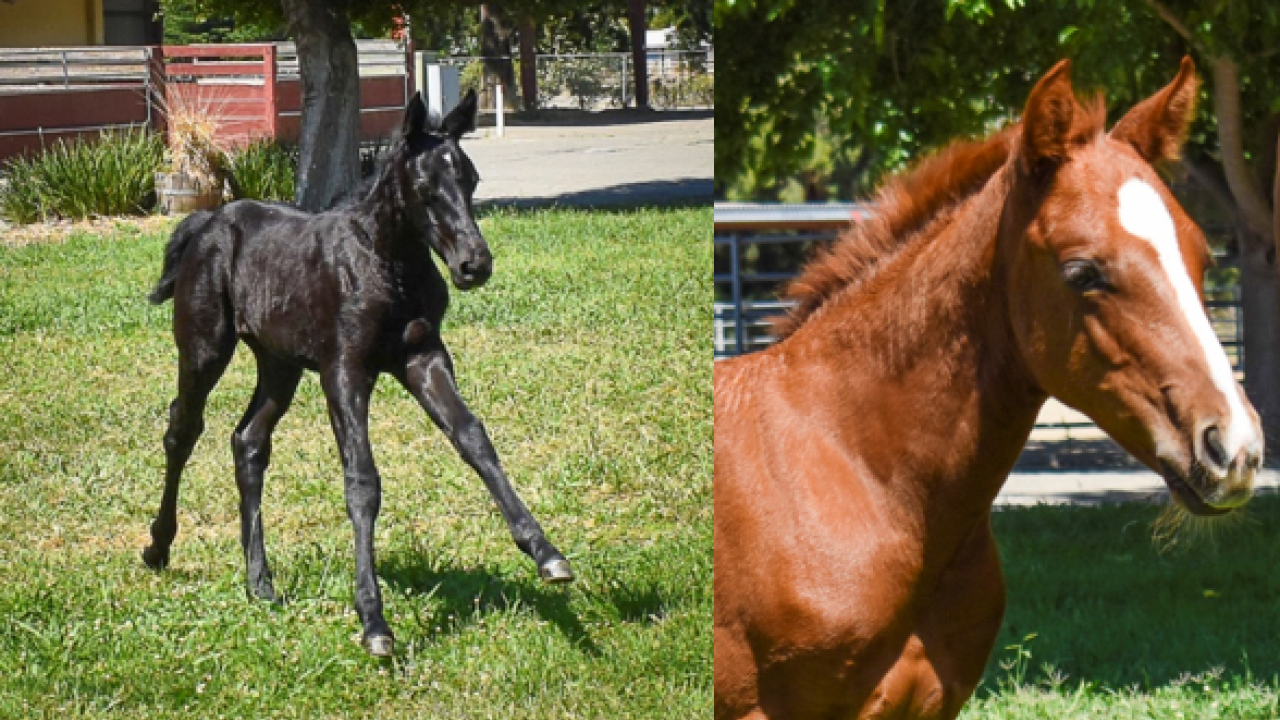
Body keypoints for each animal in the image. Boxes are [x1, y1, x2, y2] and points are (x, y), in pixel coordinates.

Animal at [142, 90, 573, 657]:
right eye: (424, 186)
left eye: (472, 179)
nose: (474, 265)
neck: (386, 264)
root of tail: (206, 222)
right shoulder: (344, 371)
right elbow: (362, 479)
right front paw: (373, 620)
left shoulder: (423, 358)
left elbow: (473, 439)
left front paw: (544, 551)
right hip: (204, 349)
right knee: (182, 430)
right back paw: (157, 548)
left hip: (279, 365)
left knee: (248, 441)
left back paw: (261, 582)